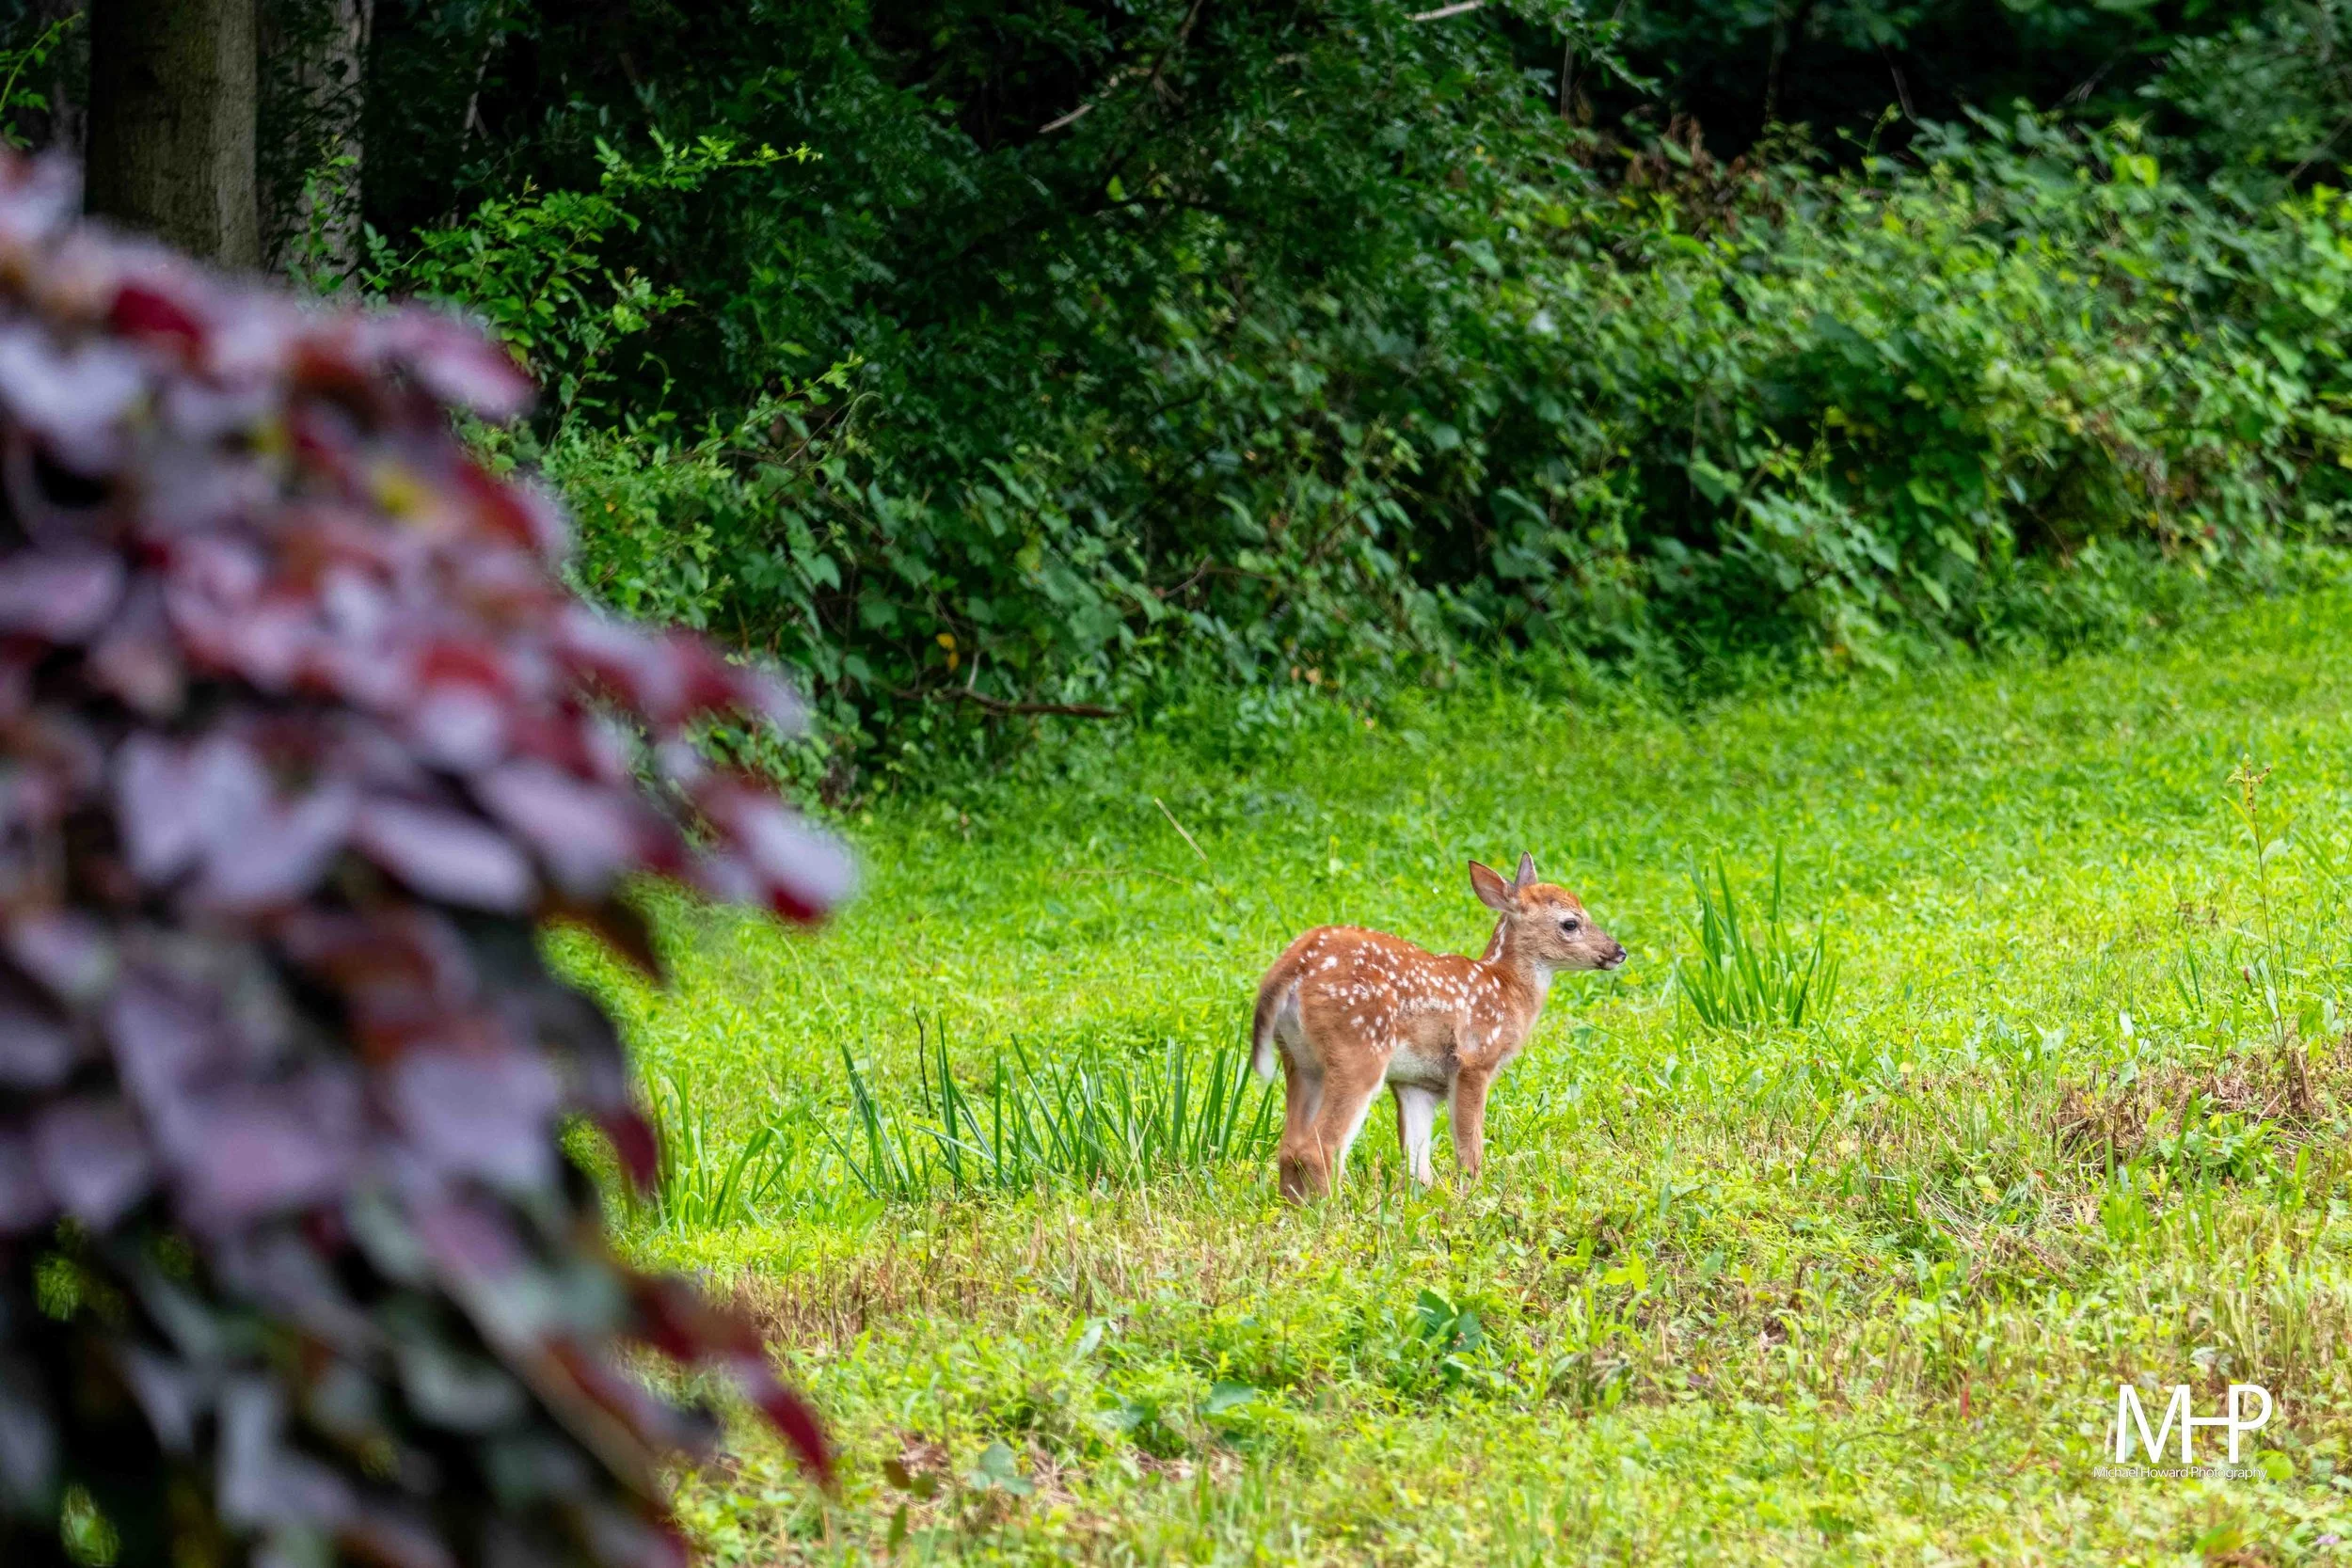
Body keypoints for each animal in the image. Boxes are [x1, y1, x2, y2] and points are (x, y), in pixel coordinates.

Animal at [1249, 853, 1625, 1201]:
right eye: (1571, 923)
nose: (1618, 951)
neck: (1505, 988)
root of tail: (1290, 967)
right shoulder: (1474, 1060)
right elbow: (1469, 1148)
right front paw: (1473, 1196)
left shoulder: (1417, 1083)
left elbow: (1417, 1166)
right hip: (1358, 1047)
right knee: (1320, 1148)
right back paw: (1332, 1212)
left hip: (1300, 1060)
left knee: (1289, 1148)